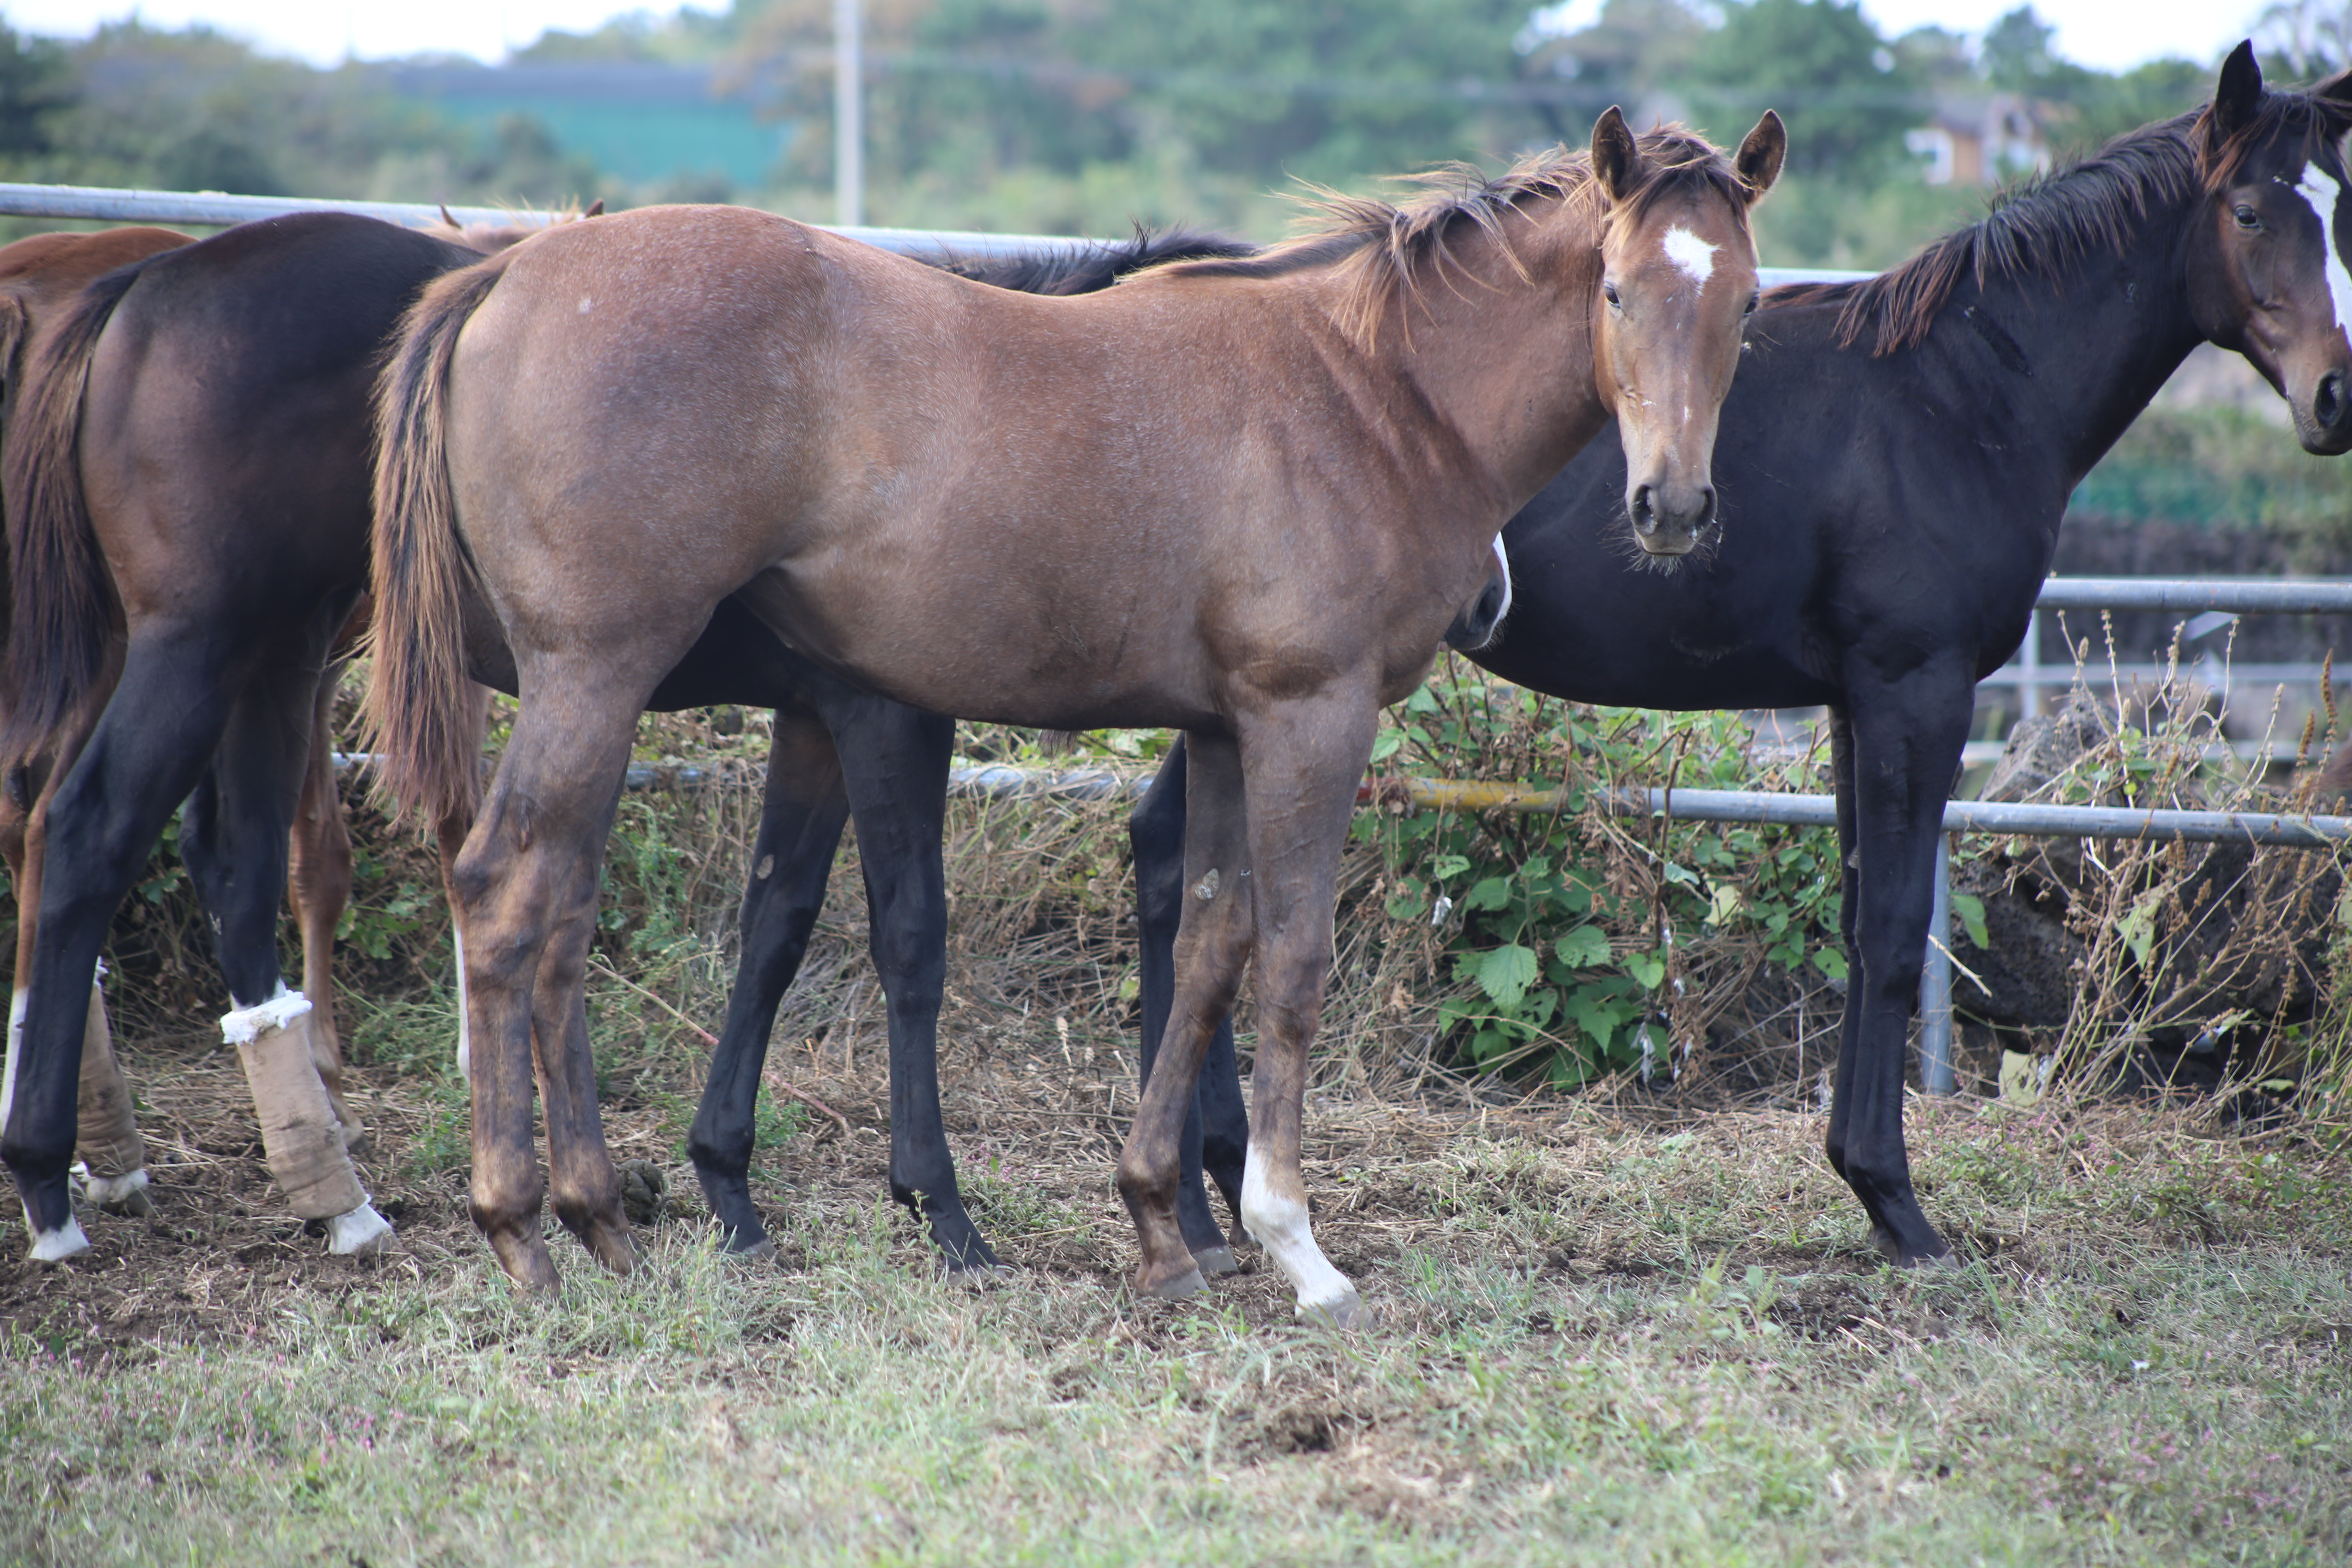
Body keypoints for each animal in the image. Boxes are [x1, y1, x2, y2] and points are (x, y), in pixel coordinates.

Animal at [367, 113, 1778, 1316]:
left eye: (1747, 303)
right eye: (1615, 290)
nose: (1673, 507)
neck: (1368, 398)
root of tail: (512, 271)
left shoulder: (1221, 729)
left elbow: (1208, 944)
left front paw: (1161, 1223)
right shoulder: (1308, 716)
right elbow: (1292, 960)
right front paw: (1292, 1244)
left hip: (601, 696)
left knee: (555, 907)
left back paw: (601, 1222)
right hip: (595, 675)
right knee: (504, 892)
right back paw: (521, 1230)